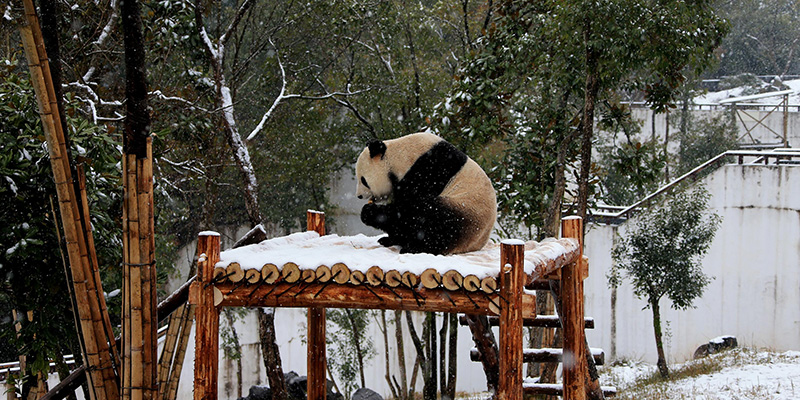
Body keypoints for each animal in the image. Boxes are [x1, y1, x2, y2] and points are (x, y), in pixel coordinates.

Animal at [354, 133, 494, 255]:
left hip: (463, 210)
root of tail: (476, 245)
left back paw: (413, 248)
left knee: (433, 221)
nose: (359, 196)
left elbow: (406, 211)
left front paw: (370, 212)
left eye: (363, 180)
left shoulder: (429, 172)